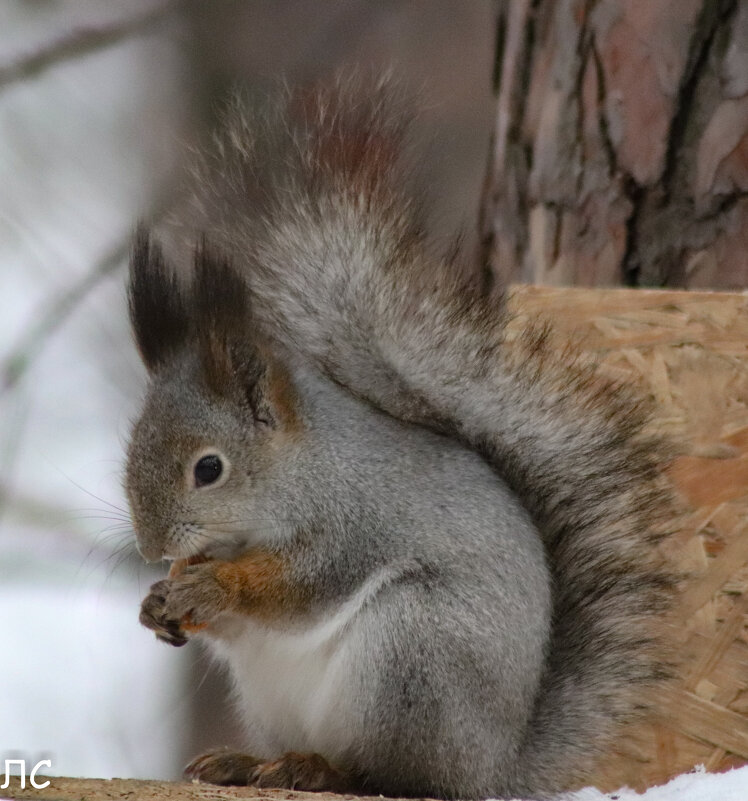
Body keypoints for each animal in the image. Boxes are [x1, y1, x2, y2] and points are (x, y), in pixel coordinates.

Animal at [127, 76, 676, 800]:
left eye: (209, 468)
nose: (151, 546)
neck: (298, 471)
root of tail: (492, 768)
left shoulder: (357, 521)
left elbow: (302, 585)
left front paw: (212, 588)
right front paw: (158, 601)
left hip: (415, 655)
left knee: (390, 775)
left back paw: (319, 769)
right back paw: (245, 764)